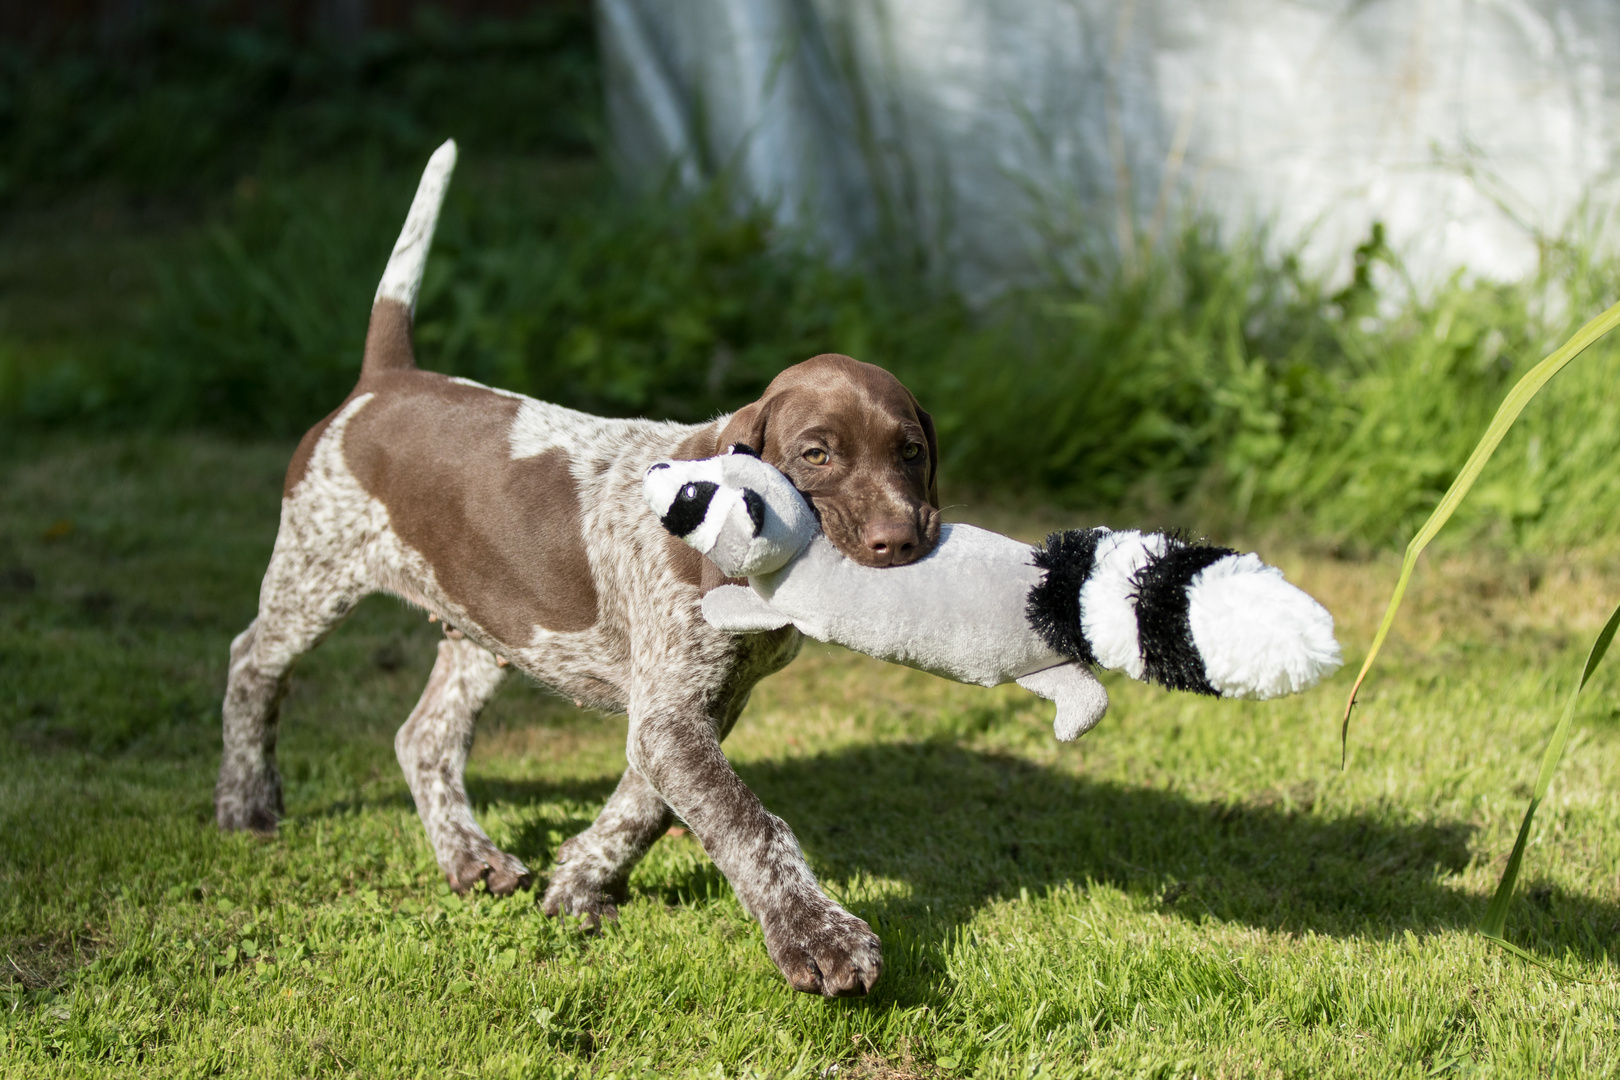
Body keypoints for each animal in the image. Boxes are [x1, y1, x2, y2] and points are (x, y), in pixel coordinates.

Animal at [221, 141, 946, 997]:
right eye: (816, 455)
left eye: (911, 451)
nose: (900, 539)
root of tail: (383, 381)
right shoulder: (673, 712)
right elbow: (746, 822)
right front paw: (817, 934)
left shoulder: (702, 703)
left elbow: (647, 804)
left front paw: (582, 879)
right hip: (314, 571)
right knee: (253, 664)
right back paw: (245, 803)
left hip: (487, 624)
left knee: (422, 737)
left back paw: (469, 856)